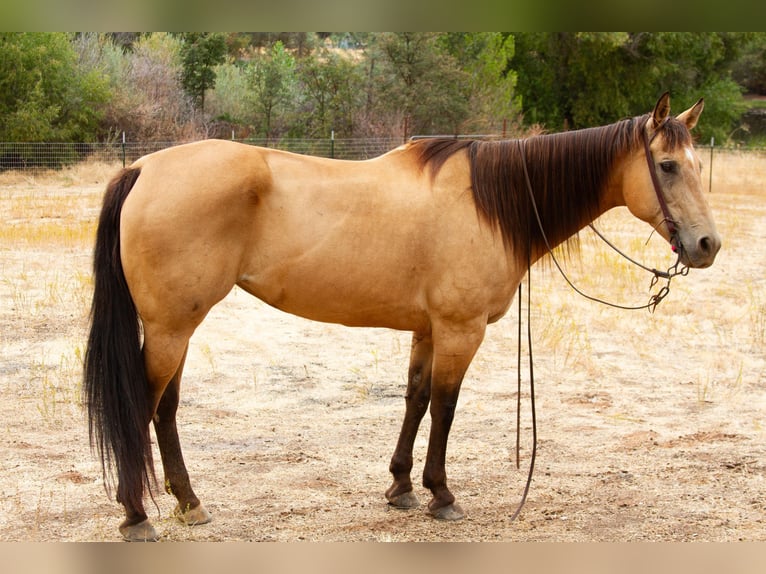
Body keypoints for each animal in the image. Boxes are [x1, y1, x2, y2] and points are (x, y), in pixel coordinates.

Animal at [84, 93, 720, 541]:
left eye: (696, 163)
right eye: (666, 165)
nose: (707, 245)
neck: (490, 204)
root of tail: (142, 168)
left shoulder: (427, 329)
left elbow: (415, 399)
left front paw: (401, 486)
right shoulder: (461, 330)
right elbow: (445, 407)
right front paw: (442, 495)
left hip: (177, 328)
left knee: (164, 409)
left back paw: (188, 503)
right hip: (170, 328)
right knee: (142, 406)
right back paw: (137, 514)